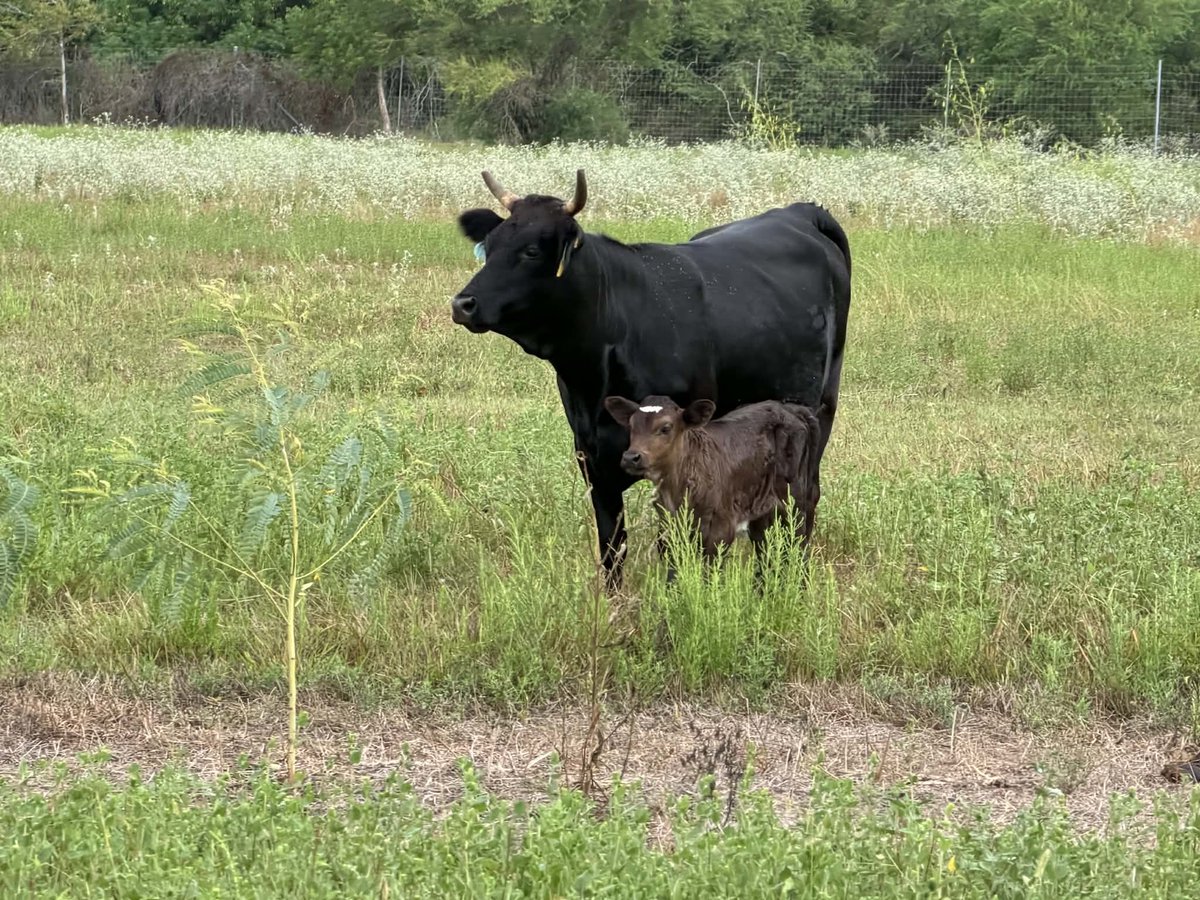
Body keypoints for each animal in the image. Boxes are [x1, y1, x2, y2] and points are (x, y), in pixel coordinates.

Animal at [602, 395, 822, 572]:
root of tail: (790, 409)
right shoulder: (672, 533)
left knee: (799, 552)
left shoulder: (720, 532)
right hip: (762, 512)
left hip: (796, 505)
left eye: (665, 428)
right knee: (765, 555)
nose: (631, 457)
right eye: (631, 427)